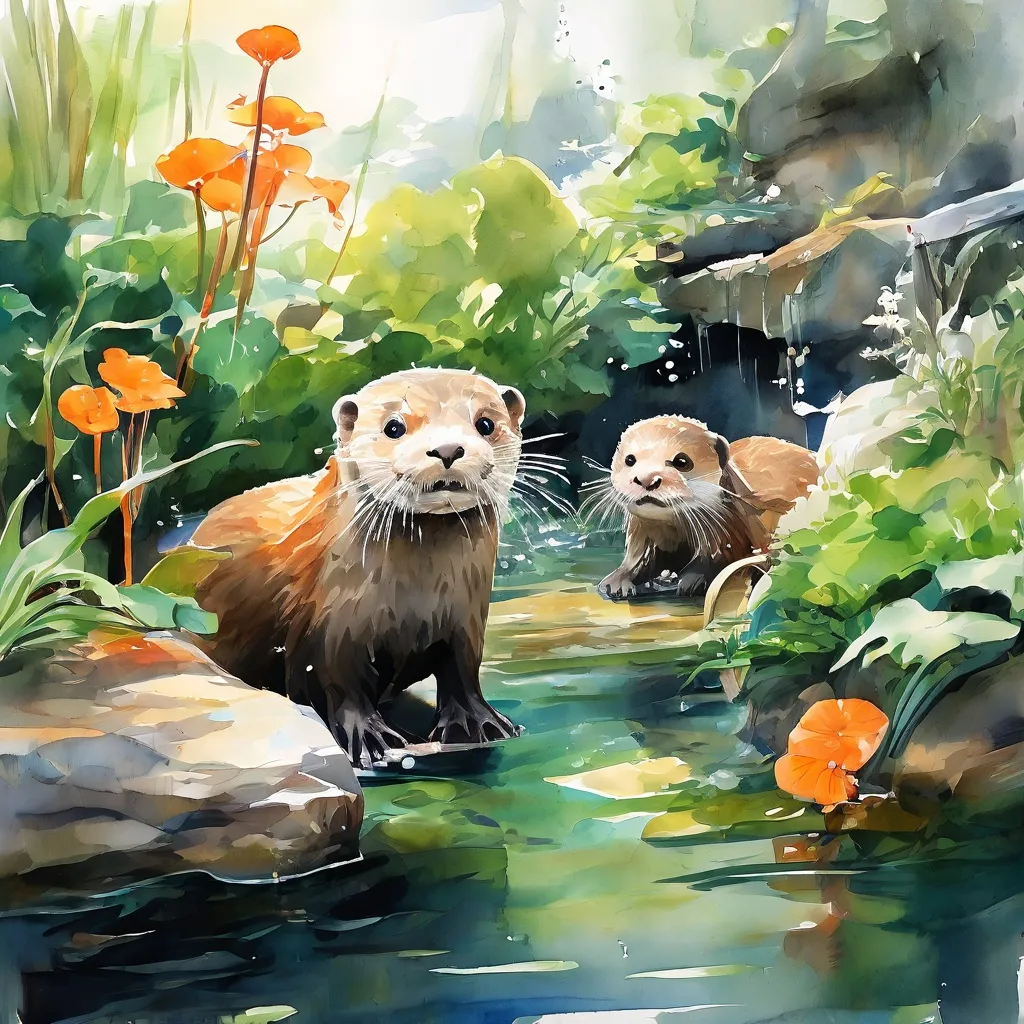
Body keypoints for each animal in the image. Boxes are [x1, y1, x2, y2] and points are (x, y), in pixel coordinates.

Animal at [187, 368, 526, 768]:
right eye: (394, 427)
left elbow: (461, 669)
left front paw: (477, 722)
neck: (417, 598)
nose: (447, 449)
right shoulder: (328, 626)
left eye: (486, 423)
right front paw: (369, 737)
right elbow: (335, 680)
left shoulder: (467, 618)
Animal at [590, 416, 818, 600]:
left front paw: (692, 580)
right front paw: (616, 581)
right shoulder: (645, 536)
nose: (646, 479)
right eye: (630, 459)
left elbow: (717, 560)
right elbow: (638, 563)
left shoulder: (729, 533)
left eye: (682, 461)